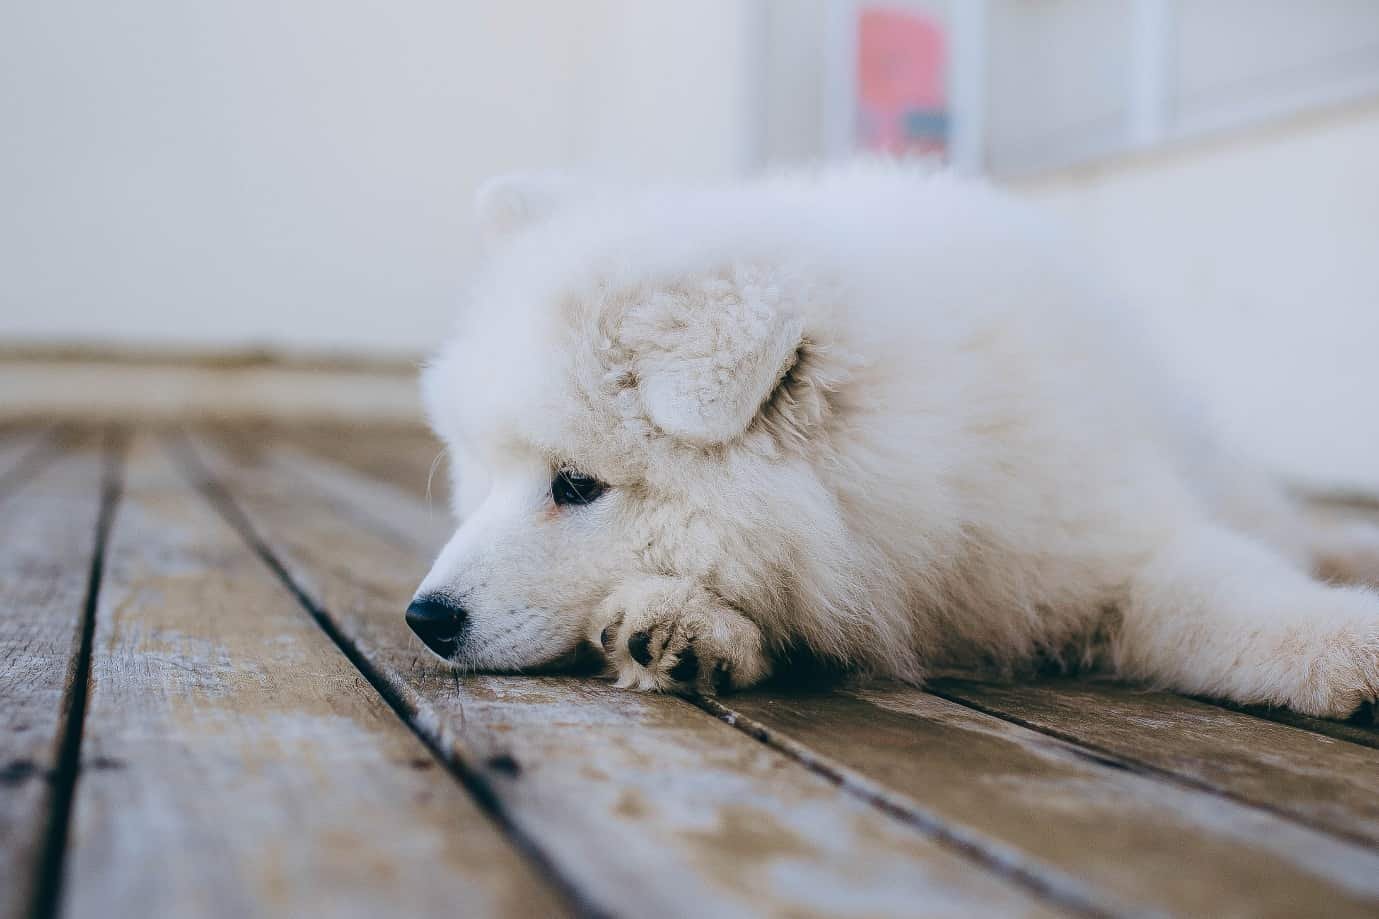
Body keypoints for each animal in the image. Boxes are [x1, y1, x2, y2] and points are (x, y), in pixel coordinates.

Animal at [408, 164, 1379, 717]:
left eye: (576, 484)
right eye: (483, 472)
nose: (426, 617)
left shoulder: (1099, 539)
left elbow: (1233, 594)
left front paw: (1347, 645)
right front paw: (680, 627)